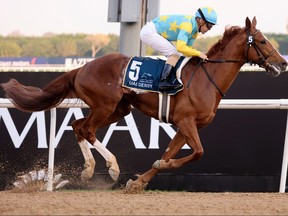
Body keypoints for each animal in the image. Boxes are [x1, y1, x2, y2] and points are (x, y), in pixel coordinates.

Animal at [1, 17, 286, 192]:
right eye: (262, 41)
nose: (282, 63)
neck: (207, 79)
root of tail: (82, 68)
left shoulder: (184, 126)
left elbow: (170, 153)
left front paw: (140, 181)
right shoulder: (186, 121)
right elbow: (197, 152)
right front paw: (153, 170)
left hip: (119, 109)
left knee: (77, 125)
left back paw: (88, 170)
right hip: (105, 106)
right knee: (87, 129)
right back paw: (112, 167)